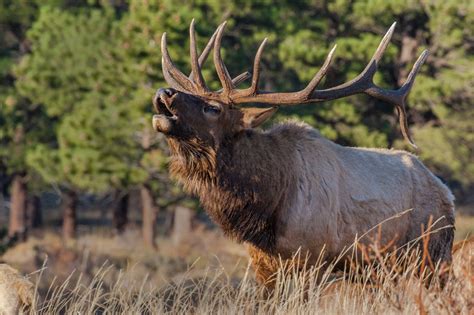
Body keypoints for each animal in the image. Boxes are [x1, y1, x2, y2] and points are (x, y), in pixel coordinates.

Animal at [152, 20, 456, 288]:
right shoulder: (263, 265)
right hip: (383, 269)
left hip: (432, 254)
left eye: (213, 108)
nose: (164, 91)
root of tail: (447, 193)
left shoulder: (313, 258)